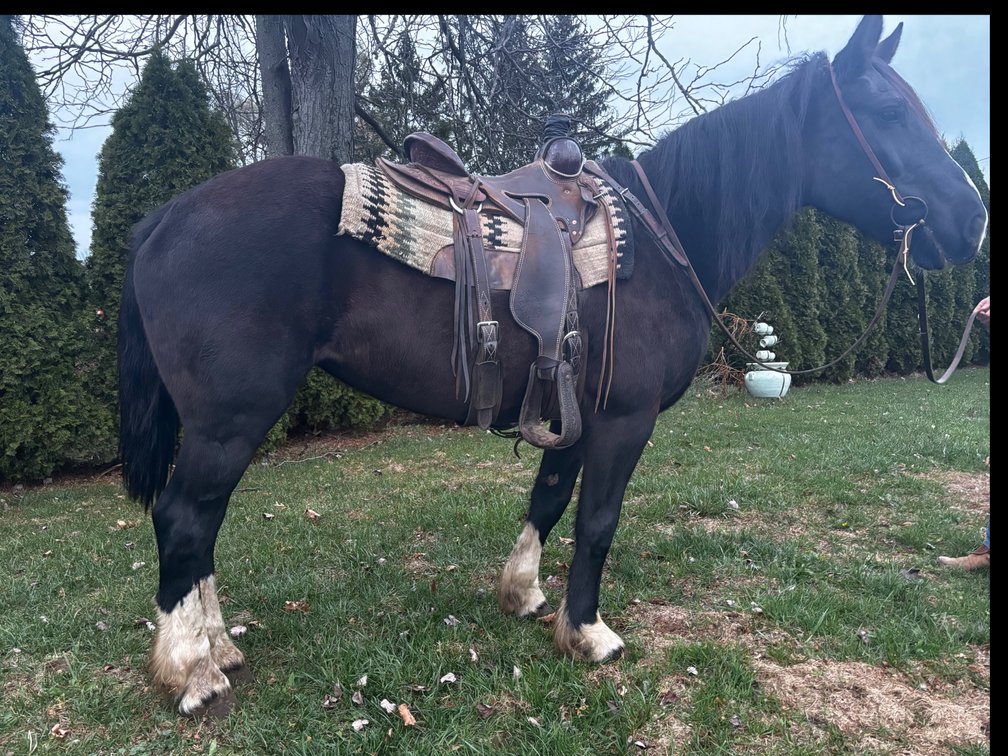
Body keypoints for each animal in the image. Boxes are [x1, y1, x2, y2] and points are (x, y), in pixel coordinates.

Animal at [117, 15, 987, 716]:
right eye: (885, 111)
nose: (972, 218)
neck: (664, 239)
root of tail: (162, 218)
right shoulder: (625, 419)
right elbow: (597, 520)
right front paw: (590, 632)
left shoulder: (572, 407)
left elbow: (548, 497)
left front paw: (526, 594)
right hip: (232, 418)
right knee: (185, 518)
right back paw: (192, 671)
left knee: (202, 525)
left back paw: (218, 645)